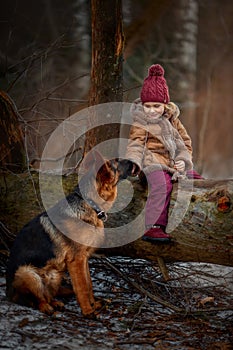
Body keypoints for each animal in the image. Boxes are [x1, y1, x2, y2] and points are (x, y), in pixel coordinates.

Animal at [5, 151, 133, 318]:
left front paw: (94, 305)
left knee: (47, 294)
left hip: (55, 275)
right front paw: (88, 311)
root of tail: (7, 293)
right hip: (28, 273)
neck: (89, 204)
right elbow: (82, 287)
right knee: (36, 299)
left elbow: (88, 284)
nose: (133, 163)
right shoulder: (76, 260)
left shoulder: (84, 258)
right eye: (117, 161)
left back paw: (55, 303)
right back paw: (46, 307)